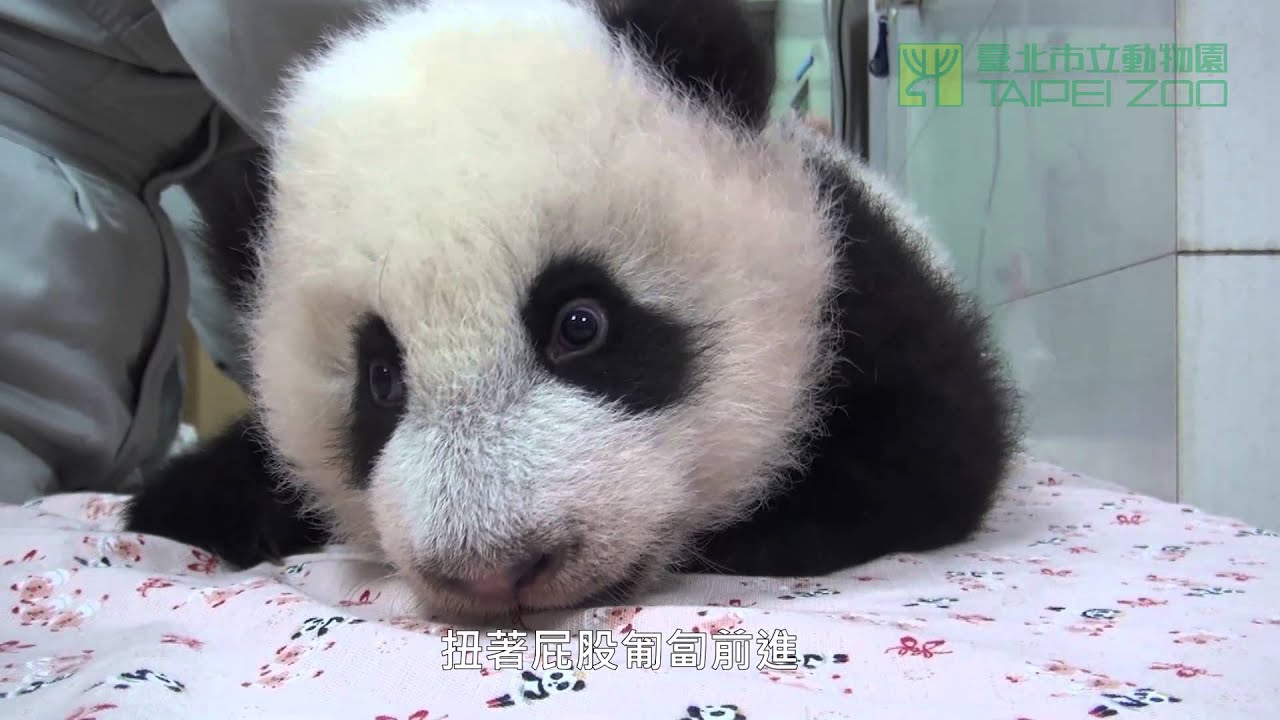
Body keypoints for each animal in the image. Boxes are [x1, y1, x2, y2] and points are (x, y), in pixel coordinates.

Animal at [124, 0, 1022, 622]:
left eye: (580, 324)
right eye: (380, 381)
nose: (493, 569)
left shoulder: (856, 281)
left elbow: (937, 446)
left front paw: (760, 532)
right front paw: (191, 502)